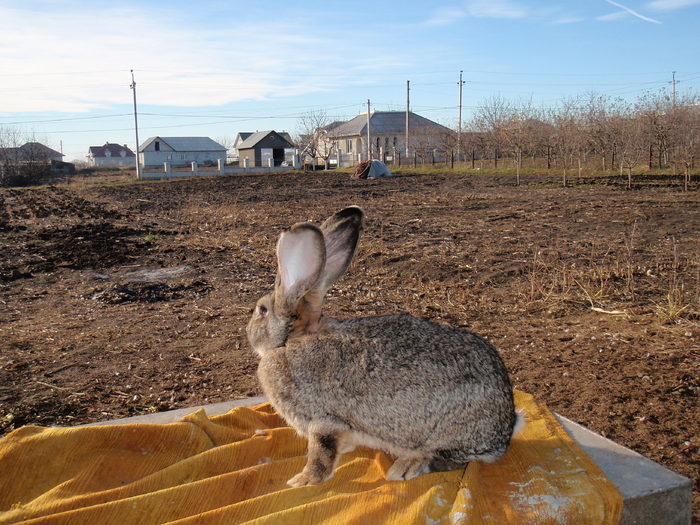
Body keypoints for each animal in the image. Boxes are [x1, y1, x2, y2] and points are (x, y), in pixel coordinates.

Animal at [246, 207, 520, 486]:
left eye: (262, 310)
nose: (248, 332)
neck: (290, 341)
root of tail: (505, 428)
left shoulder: (323, 419)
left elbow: (321, 453)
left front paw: (303, 480)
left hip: (447, 432)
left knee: (450, 459)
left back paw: (406, 467)